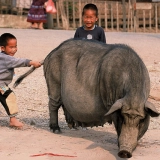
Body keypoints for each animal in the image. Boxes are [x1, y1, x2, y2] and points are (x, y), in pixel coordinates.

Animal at [13, 38, 159, 158]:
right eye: (122, 118)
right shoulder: (111, 102)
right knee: (53, 104)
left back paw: (73, 127)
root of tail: (51, 53)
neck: (133, 95)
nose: (124, 152)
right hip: (53, 80)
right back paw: (56, 130)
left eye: (141, 120)